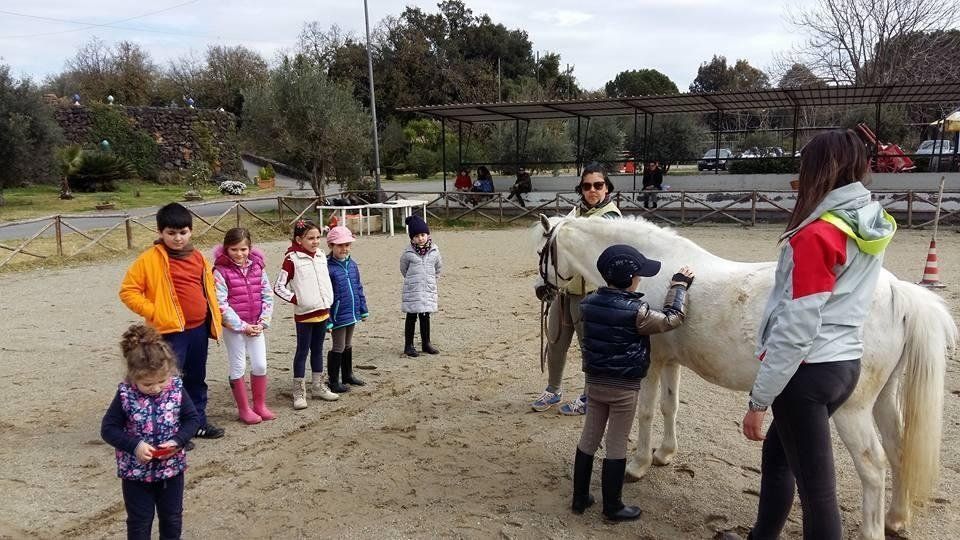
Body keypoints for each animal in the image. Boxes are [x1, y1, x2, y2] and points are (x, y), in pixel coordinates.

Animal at [534, 214, 957, 540]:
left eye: (541, 251)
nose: (541, 291)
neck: (657, 268)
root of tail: (897, 291)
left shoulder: (651, 364)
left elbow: (648, 412)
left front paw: (638, 465)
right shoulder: (671, 363)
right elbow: (670, 408)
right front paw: (665, 454)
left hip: (852, 412)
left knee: (873, 466)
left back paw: (873, 528)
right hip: (884, 399)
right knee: (899, 450)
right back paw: (896, 519)